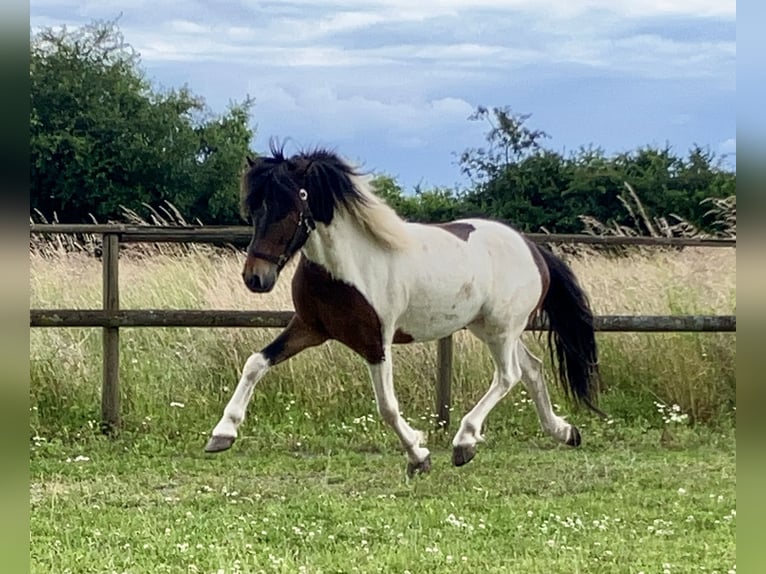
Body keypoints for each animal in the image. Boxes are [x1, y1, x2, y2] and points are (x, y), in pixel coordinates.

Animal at [205, 144, 602, 477]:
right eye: (254, 208)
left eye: (289, 206)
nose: (256, 278)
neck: (348, 266)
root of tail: (533, 248)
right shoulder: (310, 328)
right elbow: (256, 363)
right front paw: (222, 434)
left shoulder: (375, 342)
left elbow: (387, 406)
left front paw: (419, 455)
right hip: (490, 328)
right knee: (532, 369)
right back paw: (565, 432)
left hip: (503, 329)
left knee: (509, 376)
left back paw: (465, 442)